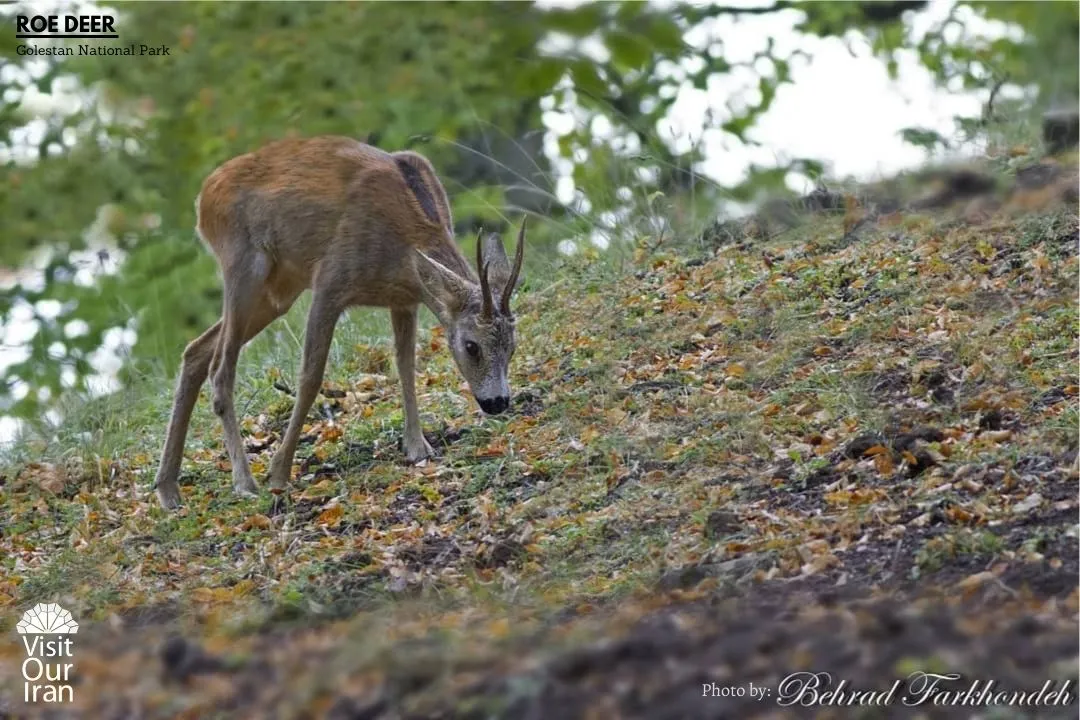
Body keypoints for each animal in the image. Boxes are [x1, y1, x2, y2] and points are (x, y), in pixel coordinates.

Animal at [154, 133, 524, 507]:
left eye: (512, 347)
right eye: (472, 346)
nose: (497, 402)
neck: (404, 246)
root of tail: (204, 196)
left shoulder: (404, 301)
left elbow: (406, 365)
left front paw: (417, 446)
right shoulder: (330, 282)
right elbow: (310, 377)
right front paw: (279, 473)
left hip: (279, 289)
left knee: (196, 351)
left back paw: (168, 489)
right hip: (243, 264)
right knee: (220, 368)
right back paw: (244, 482)